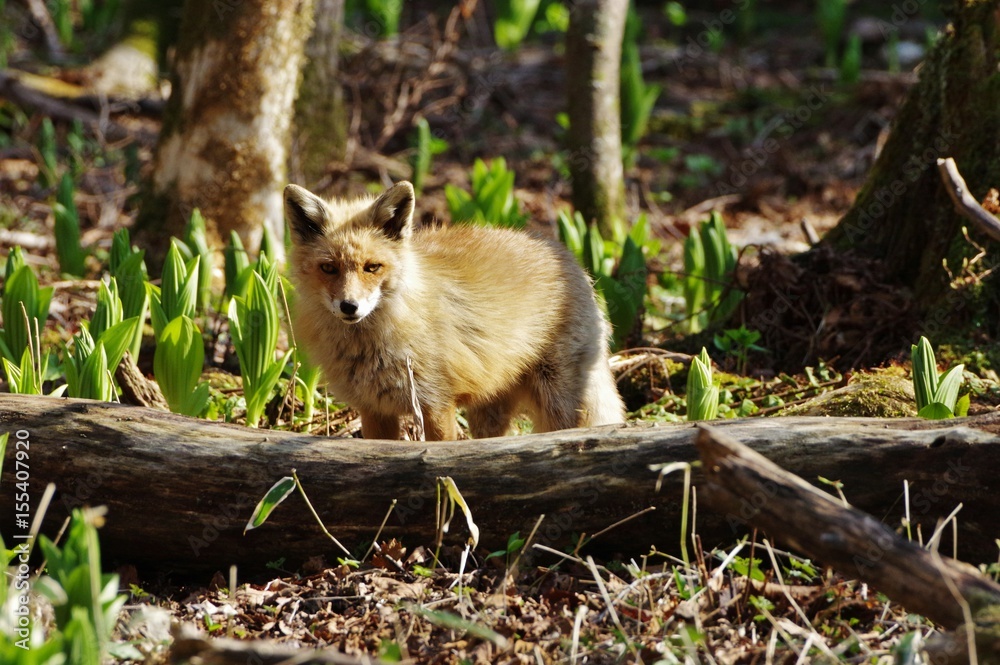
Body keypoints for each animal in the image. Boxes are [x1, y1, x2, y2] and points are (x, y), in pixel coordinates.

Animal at [284, 180, 626, 441]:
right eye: (328, 268)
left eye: (372, 267)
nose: (349, 306)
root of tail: (568, 256)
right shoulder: (374, 409)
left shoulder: (435, 402)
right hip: (488, 410)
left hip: (556, 398)